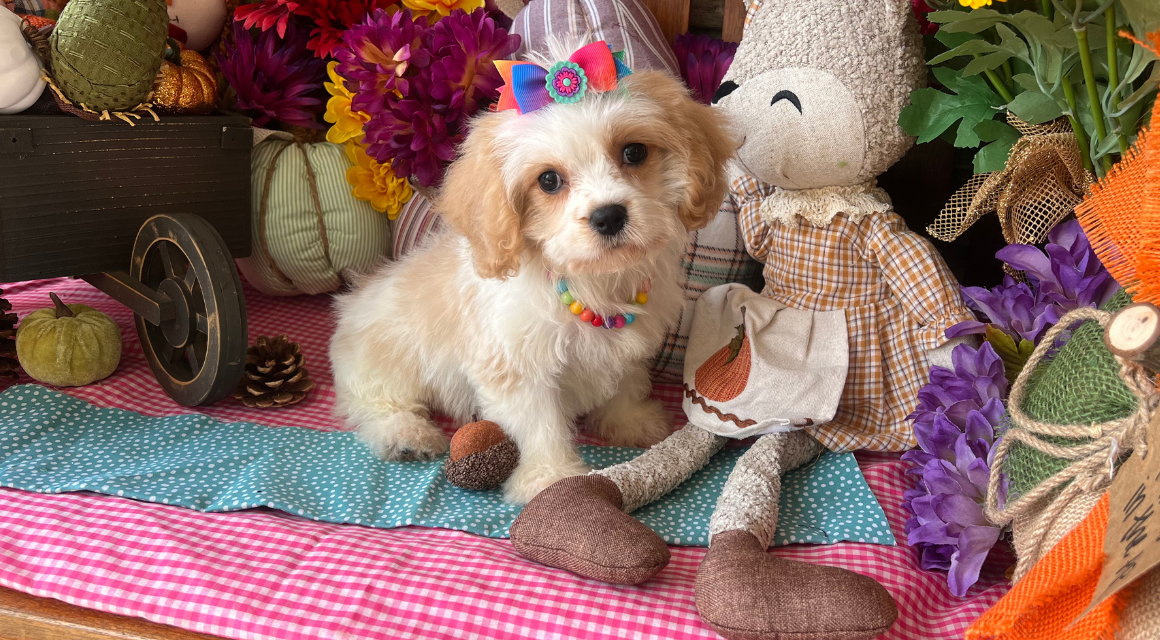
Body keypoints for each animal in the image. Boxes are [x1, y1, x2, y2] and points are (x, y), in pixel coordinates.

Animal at [327, 47, 728, 503]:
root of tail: (354, 297)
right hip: (380, 364)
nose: (608, 216)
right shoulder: (517, 366)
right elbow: (540, 424)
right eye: (549, 180)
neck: (589, 283)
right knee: (371, 404)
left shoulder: (628, 344)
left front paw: (630, 420)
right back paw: (406, 434)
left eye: (633, 153)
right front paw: (551, 478)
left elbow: (624, 381)